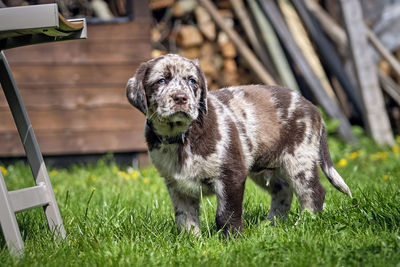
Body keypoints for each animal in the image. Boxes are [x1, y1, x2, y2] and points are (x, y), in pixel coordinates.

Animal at [126, 55, 352, 236]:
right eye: (161, 81)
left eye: (192, 81)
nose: (180, 98)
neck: (182, 137)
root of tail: (314, 108)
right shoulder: (177, 186)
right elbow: (185, 218)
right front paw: (192, 241)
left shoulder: (231, 175)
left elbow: (226, 214)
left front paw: (232, 239)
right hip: (263, 168)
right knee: (283, 191)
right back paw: (271, 225)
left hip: (299, 160)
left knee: (313, 193)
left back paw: (304, 224)